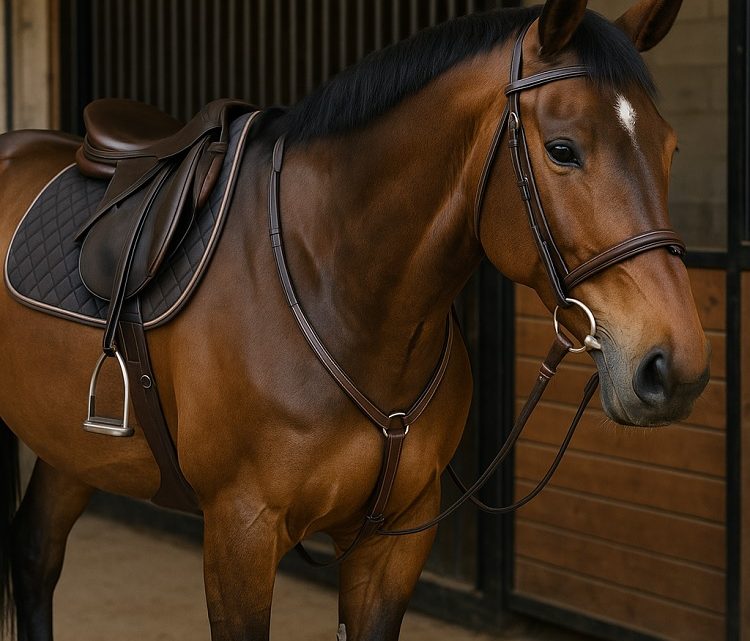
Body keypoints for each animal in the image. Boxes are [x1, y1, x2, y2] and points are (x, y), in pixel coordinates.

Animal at [0, 0, 710, 639]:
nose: (674, 368)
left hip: (69, 448)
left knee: (33, 557)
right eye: (563, 149)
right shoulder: (240, 532)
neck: (340, 293)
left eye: (672, 148)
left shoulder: (393, 541)